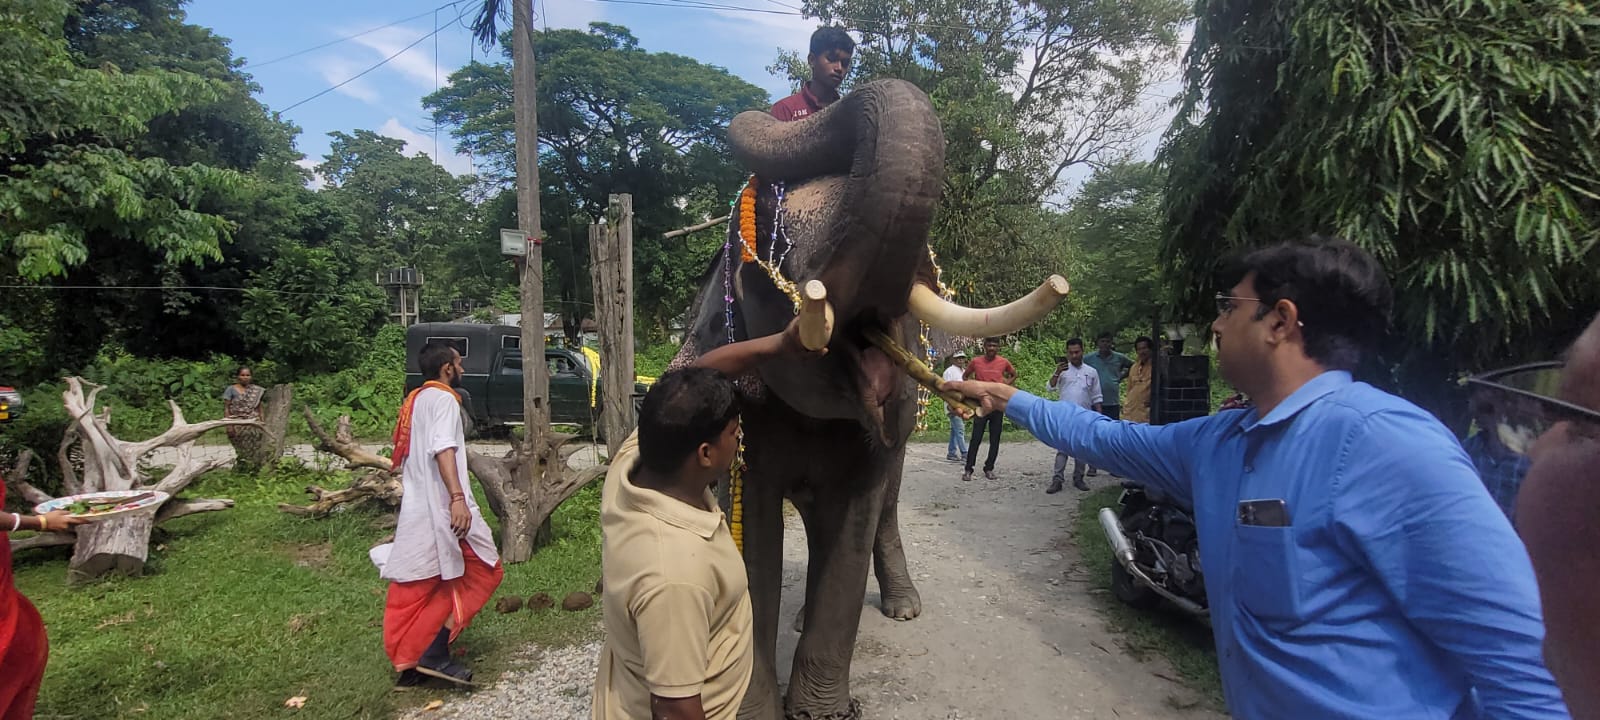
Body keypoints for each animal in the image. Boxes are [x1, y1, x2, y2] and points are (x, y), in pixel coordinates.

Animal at [668, 78, 1068, 720]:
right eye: (774, 255)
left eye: (923, 258)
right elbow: (755, 536)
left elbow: (856, 518)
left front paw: (821, 712)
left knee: (885, 505)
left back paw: (903, 608)